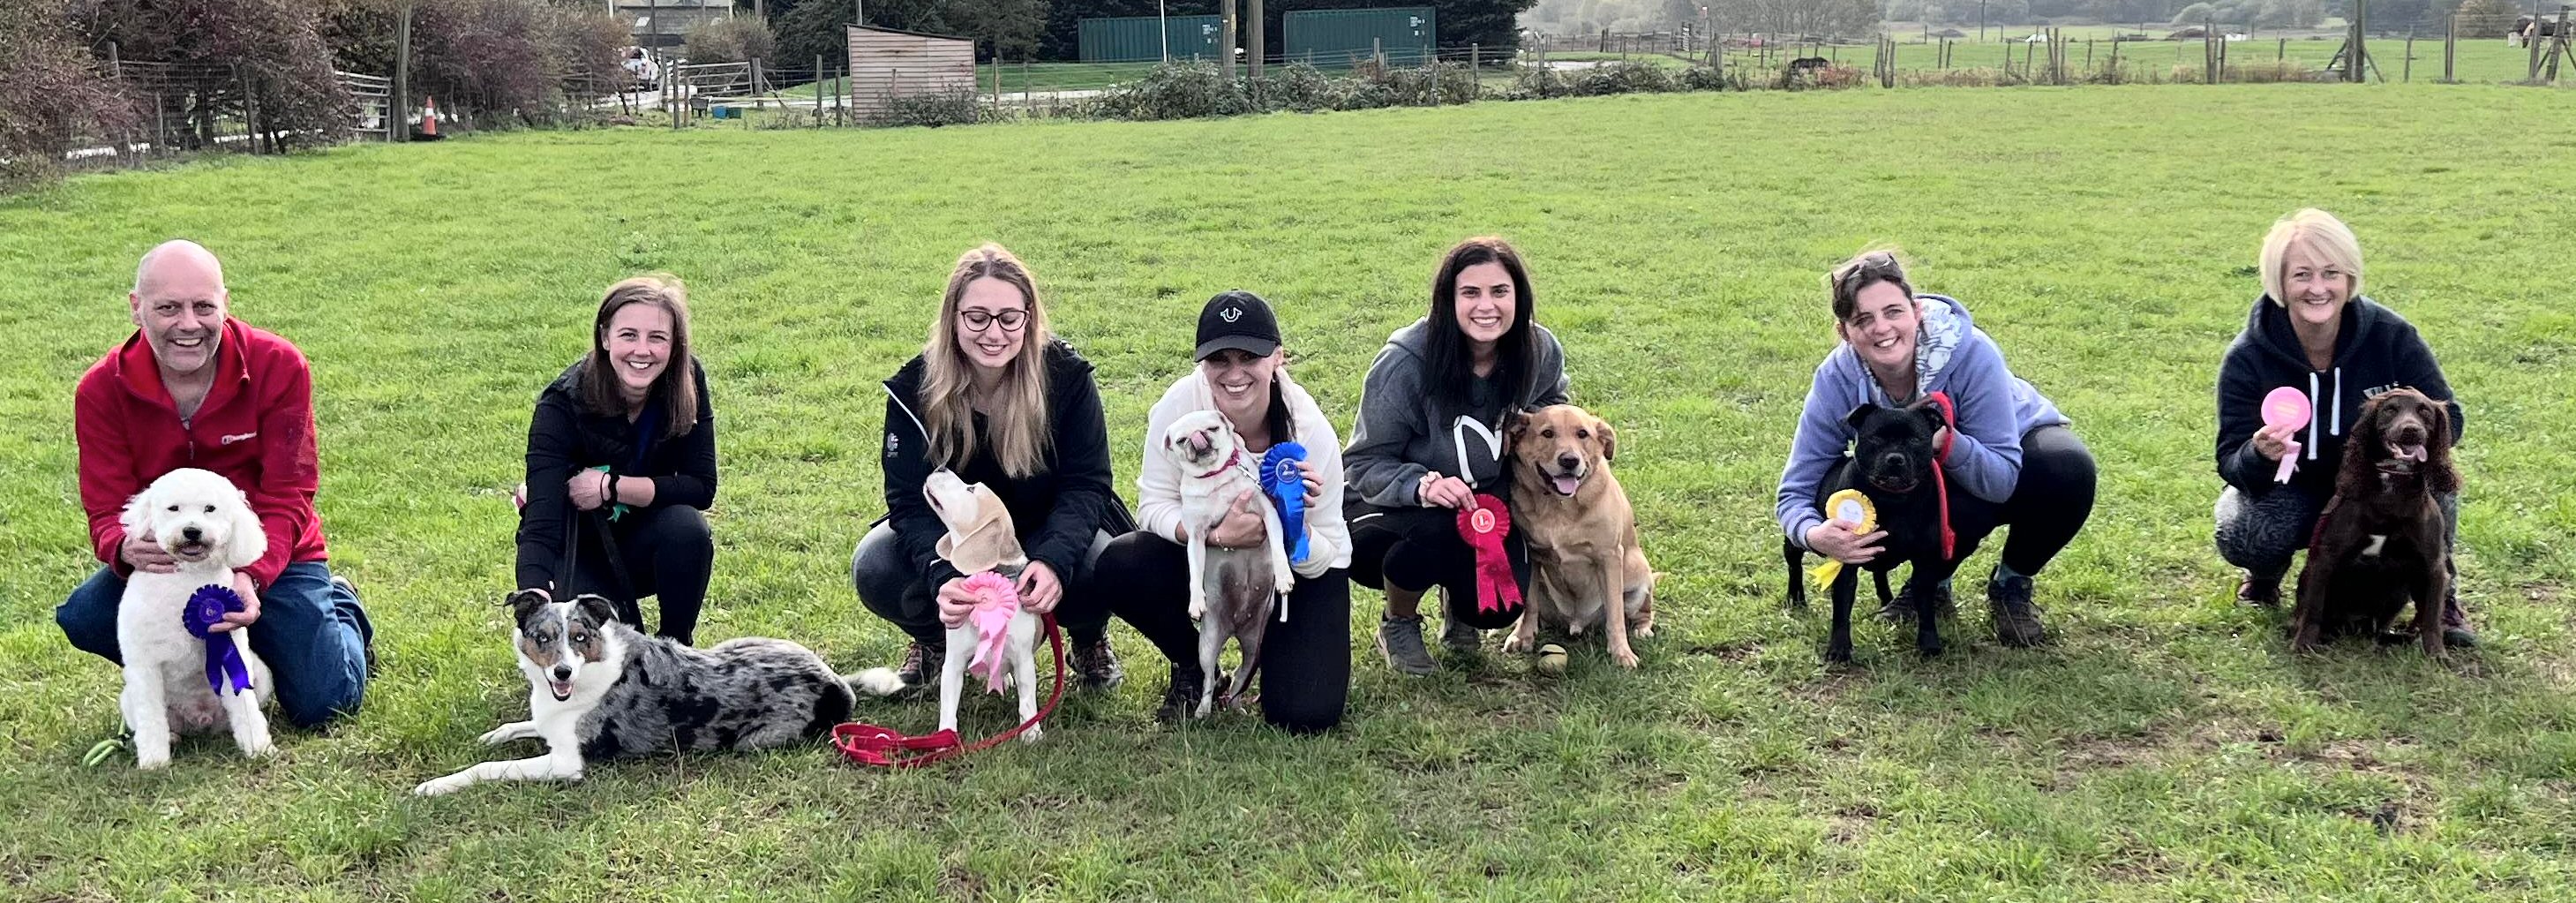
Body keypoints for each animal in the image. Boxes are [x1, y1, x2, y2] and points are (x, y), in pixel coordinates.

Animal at [114, 464, 276, 769]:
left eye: (209, 509)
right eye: (173, 508)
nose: (191, 531)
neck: (187, 579)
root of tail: (200, 719)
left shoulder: (230, 650)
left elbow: (245, 707)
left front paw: (258, 747)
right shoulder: (144, 665)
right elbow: (150, 717)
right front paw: (154, 762)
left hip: (260, 675)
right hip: (129, 697)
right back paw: (172, 738)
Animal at [850, 471, 1040, 742]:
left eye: (971, 489)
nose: (940, 467)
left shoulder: (1024, 660)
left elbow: (1027, 702)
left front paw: (1032, 733)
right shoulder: (954, 662)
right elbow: (949, 706)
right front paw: (945, 738)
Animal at [1164, 410, 1298, 717]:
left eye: (1212, 428)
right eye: (1182, 440)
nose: (1199, 438)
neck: (1215, 477)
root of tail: (1235, 626)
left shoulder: (1267, 514)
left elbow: (1278, 549)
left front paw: (1284, 577)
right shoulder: (1196, 537)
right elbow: (1195, 573)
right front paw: (1196, 602)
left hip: (1255, 649)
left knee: (1239, 679)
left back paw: (1237, 708)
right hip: (1207, 646)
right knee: (1211, 681)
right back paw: (1203, 710)